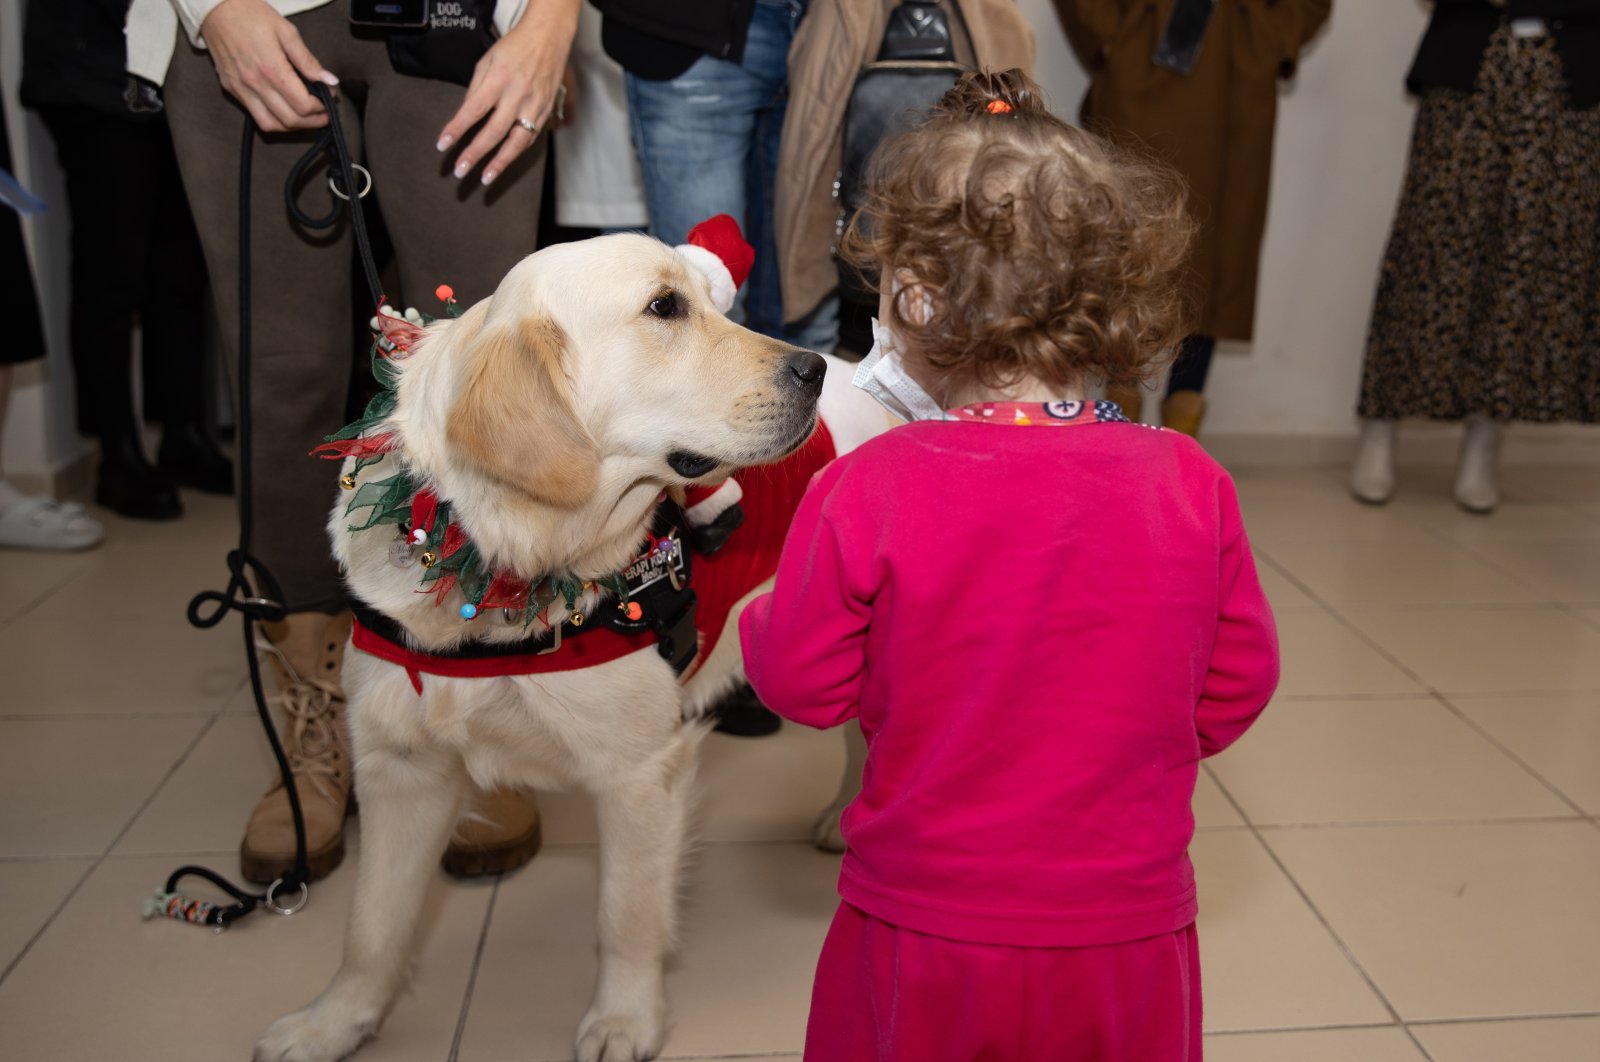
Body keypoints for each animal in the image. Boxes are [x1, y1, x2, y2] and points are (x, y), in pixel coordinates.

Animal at [256, 235, 896, 1062]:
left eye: (709, 303)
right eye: (664, 308)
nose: (811, 370)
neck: (492, 559)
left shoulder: (640, 772)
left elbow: (624, 915)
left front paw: (624, 1019)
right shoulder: (401, 766)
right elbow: (370, 929)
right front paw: (332, 1023)